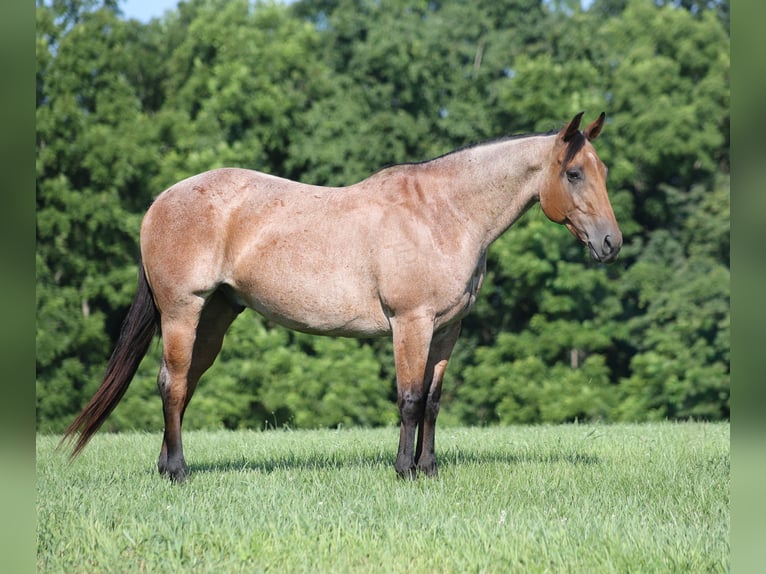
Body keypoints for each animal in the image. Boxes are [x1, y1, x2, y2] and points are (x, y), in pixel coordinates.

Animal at [60, 112, 622, 482]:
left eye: (603, 173)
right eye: (574, 173)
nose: (611, 244)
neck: (442, 213)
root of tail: (161, 201)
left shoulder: (447, 329)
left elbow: (434, 401)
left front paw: (429, 469)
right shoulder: (410, 323)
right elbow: (410, 399)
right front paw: (404, 472)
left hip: (215, 317)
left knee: (183, 384)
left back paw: (165, 466)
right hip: (183, 311)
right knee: (172, 384)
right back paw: (178, 472)